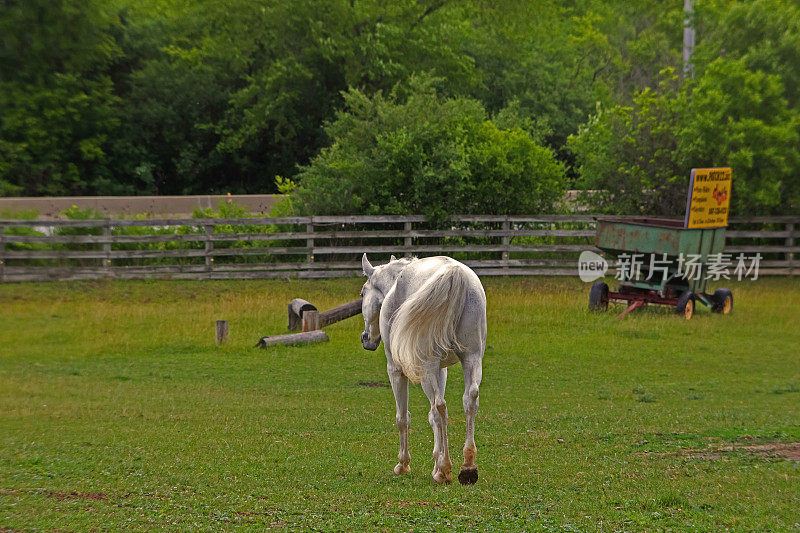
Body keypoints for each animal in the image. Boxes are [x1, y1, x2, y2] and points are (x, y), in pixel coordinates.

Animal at [362, 252, 488, 482]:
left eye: (363, 293)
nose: (366, 338)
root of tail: (454, 274)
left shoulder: (396, 370)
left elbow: (403, 417)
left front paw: (404, 464)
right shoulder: (441, 369)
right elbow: (431, 417)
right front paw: (436, 463)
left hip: (427, 368)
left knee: (439, 406)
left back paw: (445, 469)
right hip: (472, 358)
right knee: (469, 400)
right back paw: (467, 466)